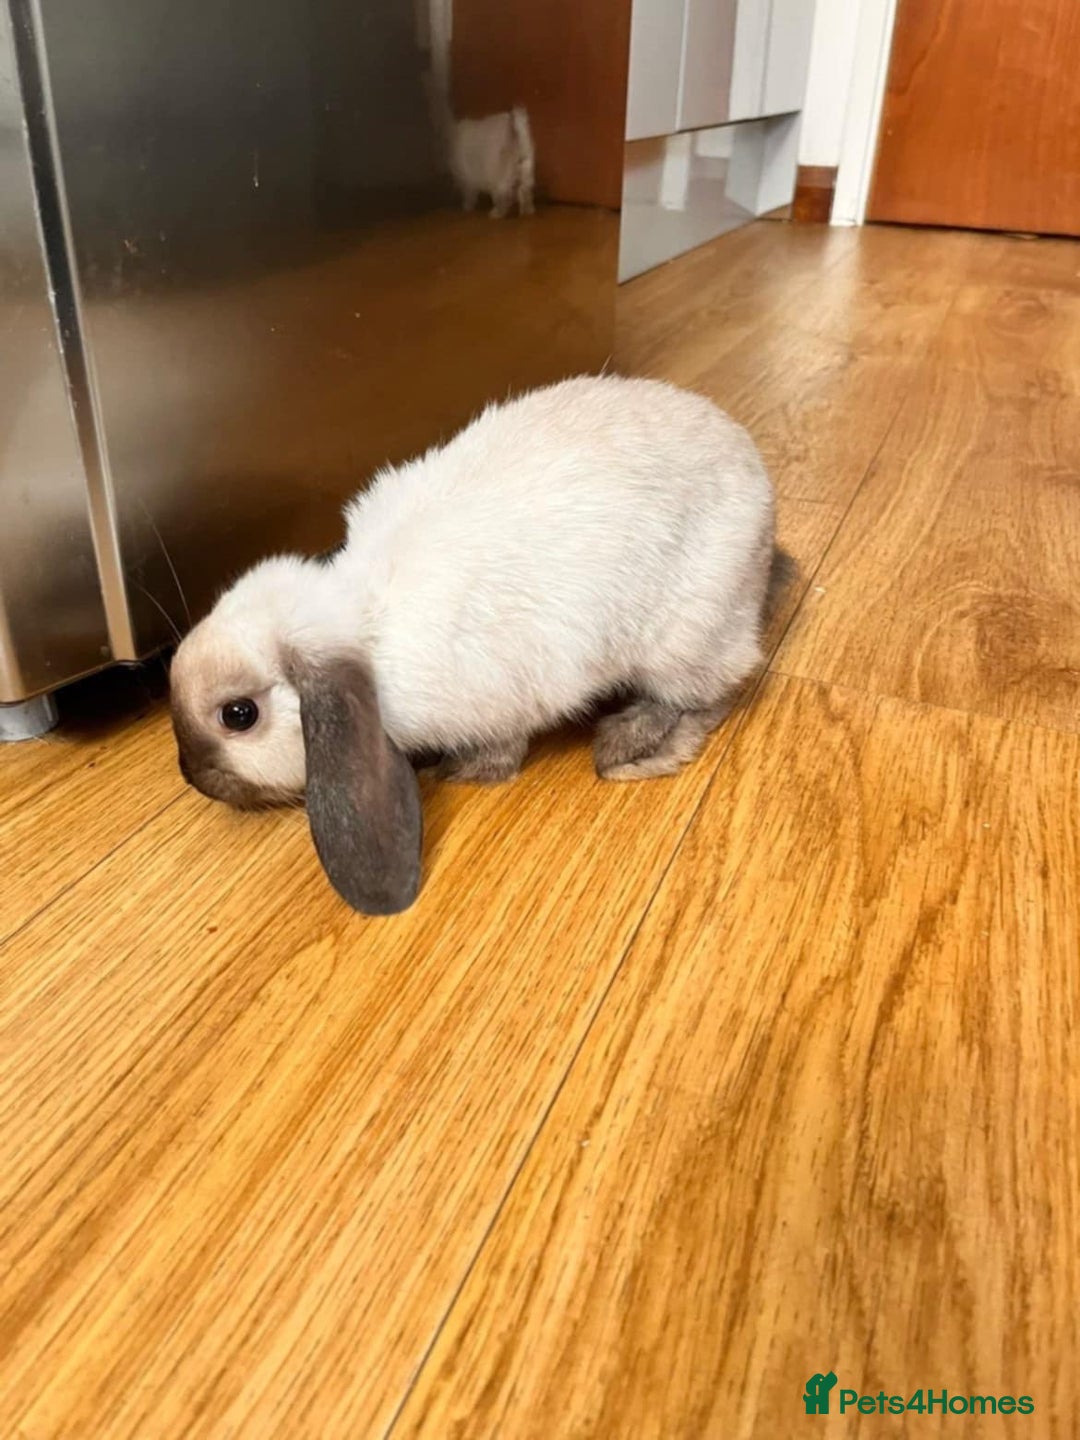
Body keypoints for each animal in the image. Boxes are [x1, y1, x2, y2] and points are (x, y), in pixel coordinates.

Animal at [169, 375, 783, 916]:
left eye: (239, 715)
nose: (193, 778)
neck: (368, 634)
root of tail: (761, 486)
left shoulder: (501, 701)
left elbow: (501, 753)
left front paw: (459, 773)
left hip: (686, 637)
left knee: (711, 694)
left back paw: (630, 749)